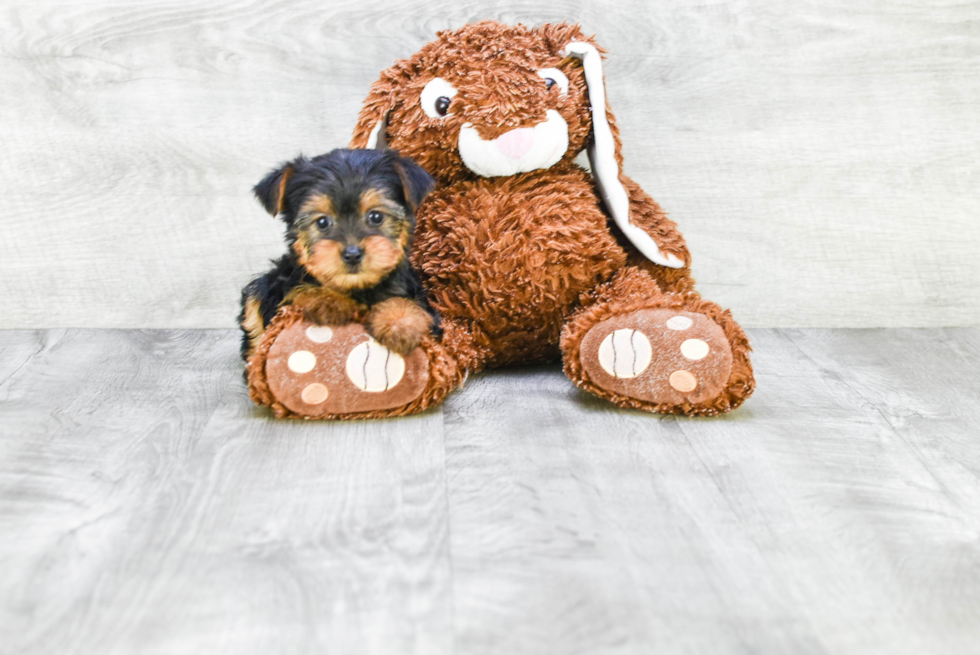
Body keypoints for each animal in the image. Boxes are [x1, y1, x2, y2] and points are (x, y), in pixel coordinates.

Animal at [239, 149, 438, 362]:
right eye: (322, 222)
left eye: (376, 217)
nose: (352, 254)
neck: (357, 286)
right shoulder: (284, 286)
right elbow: (297, 290)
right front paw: (328, 299)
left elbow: (413, 303)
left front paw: (400, 323)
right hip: (262, 287)